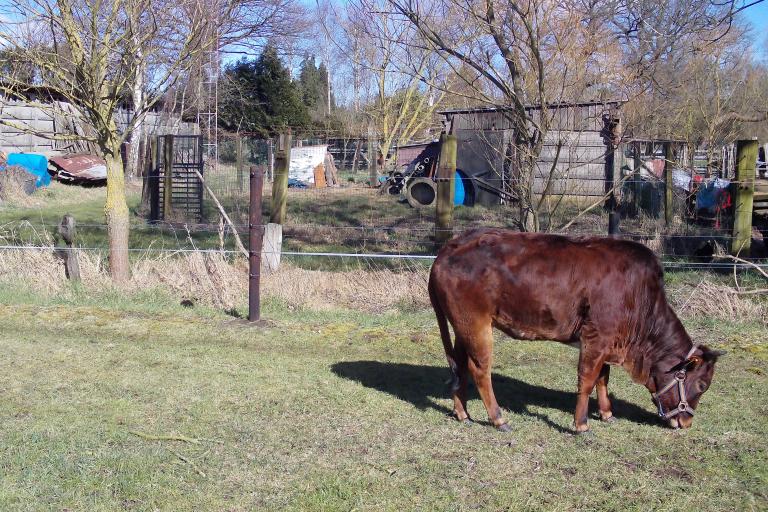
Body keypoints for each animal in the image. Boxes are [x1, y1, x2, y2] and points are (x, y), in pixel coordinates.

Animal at [428, 228, 724, 432]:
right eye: (702, 384)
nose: (686, 422)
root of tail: (450, 247)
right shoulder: (596, 336)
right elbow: (588, 379)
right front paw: (581, 424)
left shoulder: (606, 342)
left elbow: (603, 378)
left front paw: (607, 414)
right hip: (475, 325)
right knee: (480, 370)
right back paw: (498, 418)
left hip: (462, 328)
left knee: (460, 365)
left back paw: (462, 413)